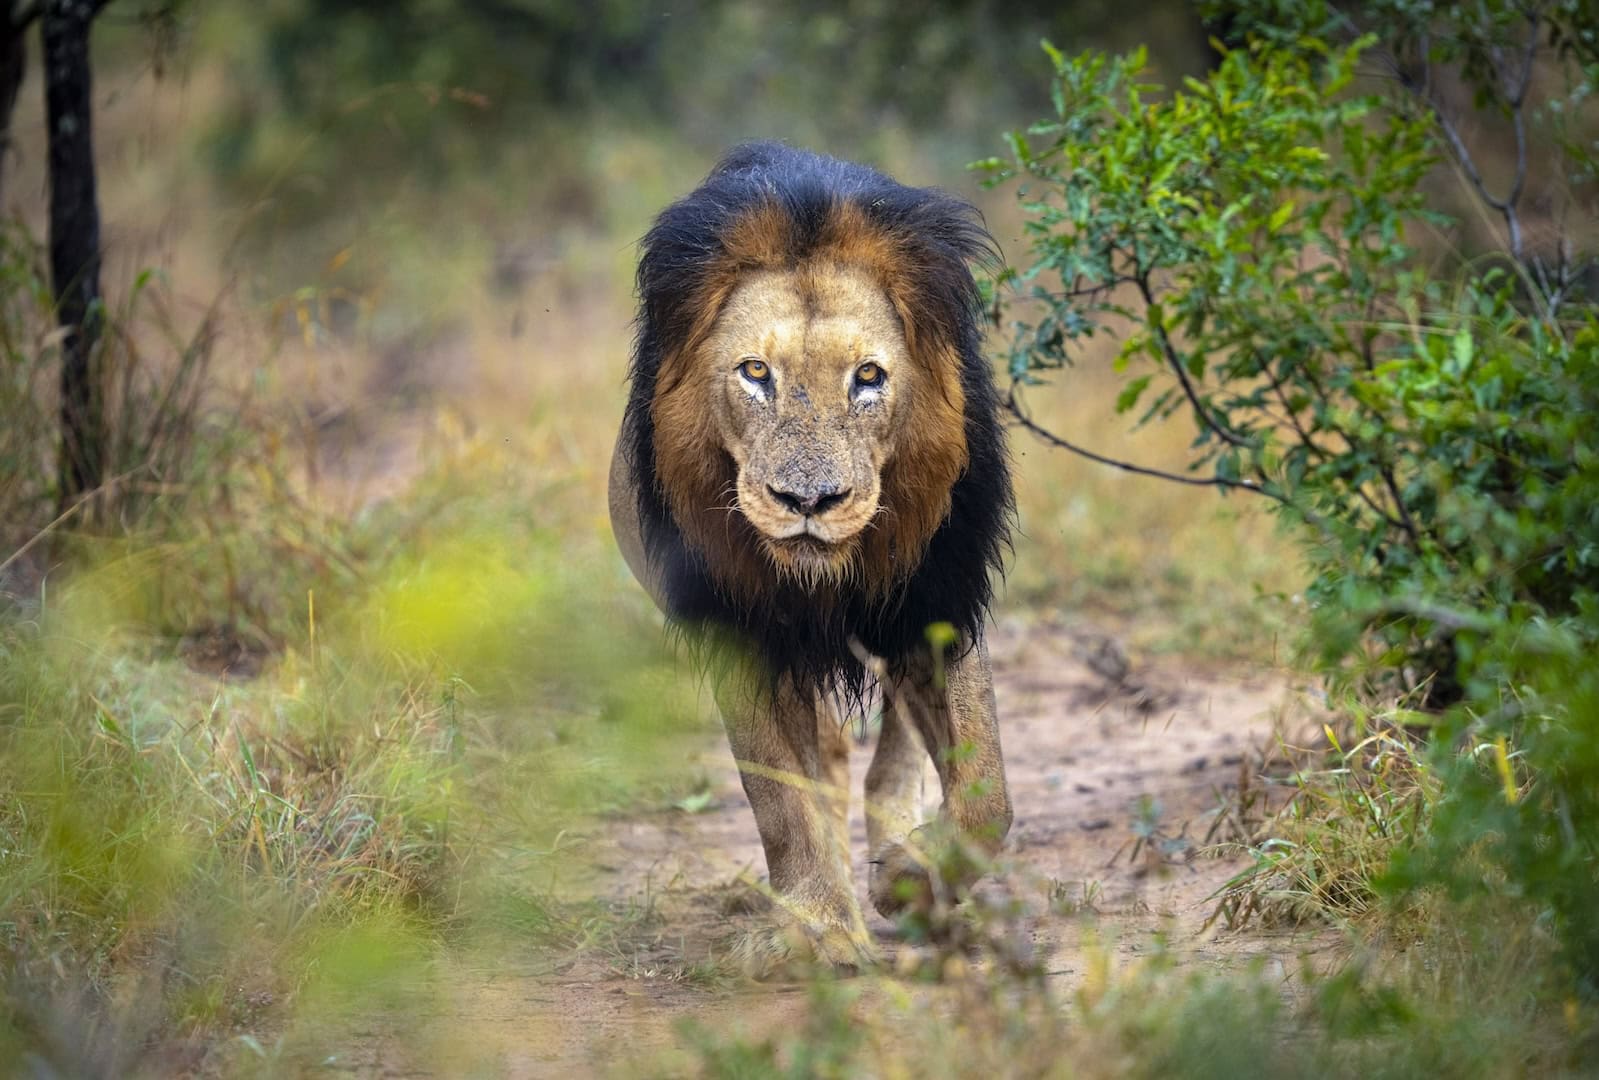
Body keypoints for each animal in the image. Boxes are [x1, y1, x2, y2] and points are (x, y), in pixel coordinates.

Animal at [609, 142, 1014, 973]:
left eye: (868, 377)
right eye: (755, 373)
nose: (807, 501)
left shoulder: (938, 601)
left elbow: (985, 791)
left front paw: (910, 879)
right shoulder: (743, 635)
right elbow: (780, 799)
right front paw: (822, 923)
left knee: (896, 755)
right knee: (820, 760)